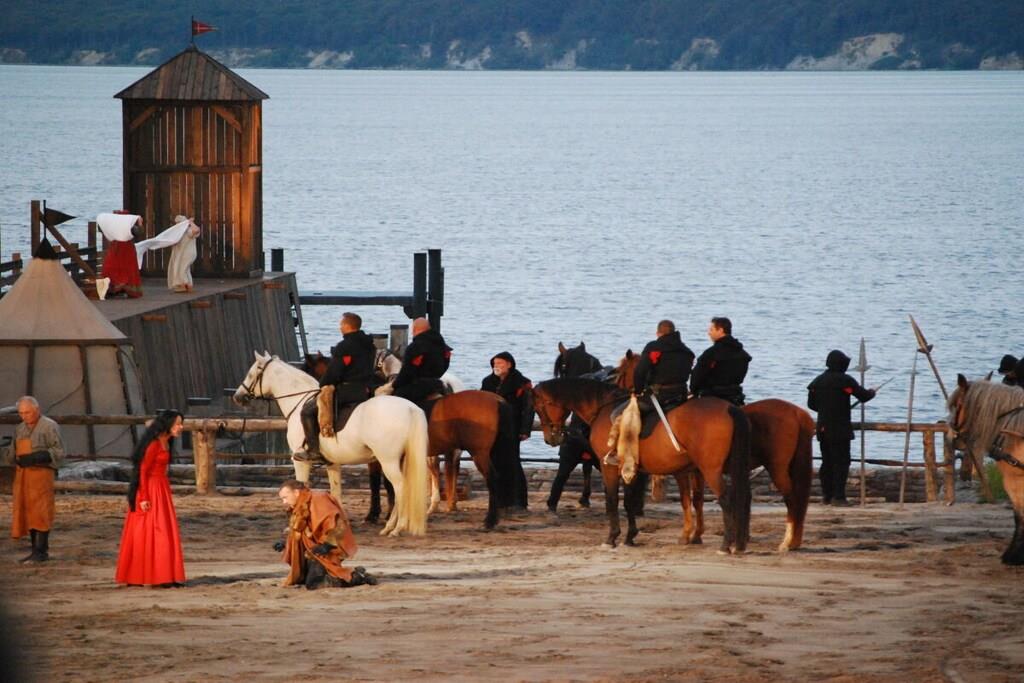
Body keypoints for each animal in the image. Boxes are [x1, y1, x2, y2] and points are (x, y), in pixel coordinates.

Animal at [233, 351, 429, 536]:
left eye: (251, 373)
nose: (237, 396)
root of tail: (411, 408)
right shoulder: (332, 463)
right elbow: (336, 493)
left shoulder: (300, 462)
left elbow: (300, 488)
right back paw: (390, 527)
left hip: (387, 461)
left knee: (400, 487)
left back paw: (396, 528)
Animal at [532, 377, 752, 552]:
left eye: (539, 407)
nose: (550, 439)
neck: (604, 406)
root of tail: (729, 407)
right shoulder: (631, 469)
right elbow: (629, 502)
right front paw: (630, 537)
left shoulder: (609, 467)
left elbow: (612, 501)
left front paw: (612, 538)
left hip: (710, 470)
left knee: (726, 500)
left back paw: (725, 545)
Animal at [614, 350, 814, 551]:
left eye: (622, 371)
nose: (618, 389)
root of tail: (798, 413)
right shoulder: (696, 470)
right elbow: (697, 499)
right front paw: (695, 535)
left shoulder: (689, 470)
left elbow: (689, 500)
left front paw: (690, 534)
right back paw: (788, 541)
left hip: (775, 468)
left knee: (790, 499)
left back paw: (784, 542)